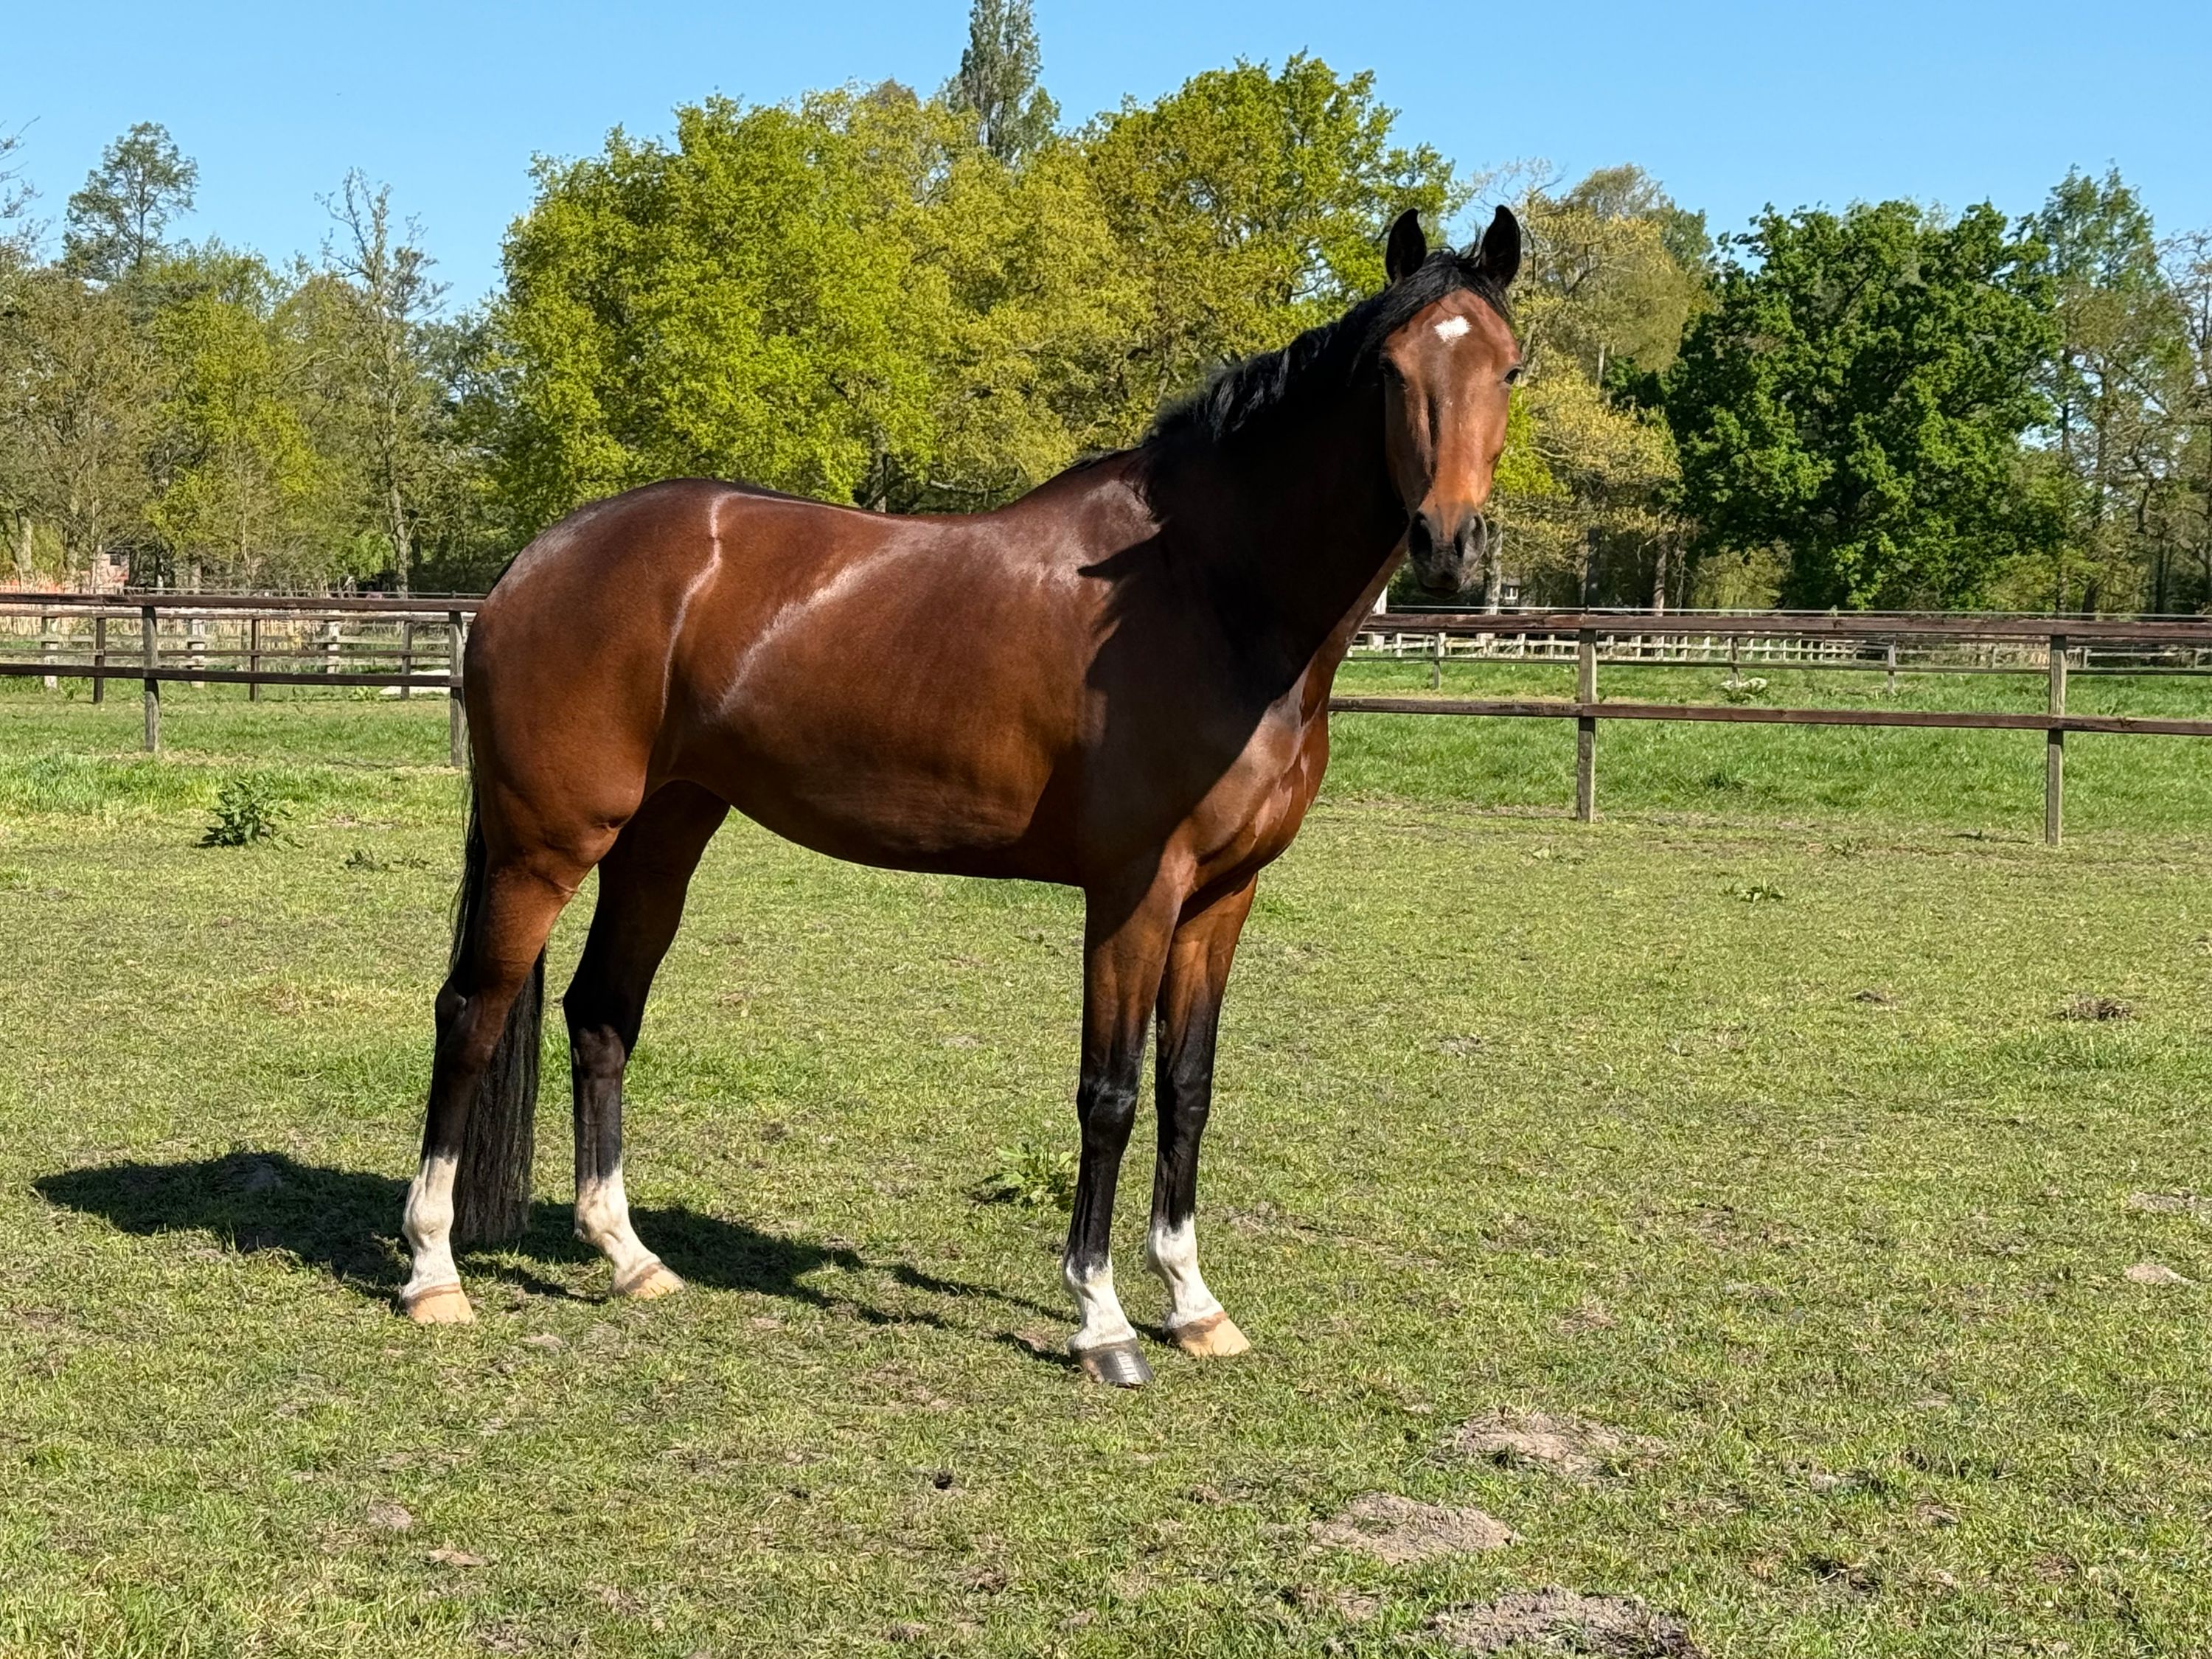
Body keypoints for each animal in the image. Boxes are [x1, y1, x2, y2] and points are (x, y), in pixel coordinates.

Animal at [399, 206, 1523, 1387]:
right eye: (1392, 369)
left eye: (1509, 367)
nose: (1450, 545)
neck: (1207, 591)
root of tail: (536, 561)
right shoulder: (1136, 893)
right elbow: (1111, 1094)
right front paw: (1104, 1321)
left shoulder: (1224, 899)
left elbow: (1189, 1090)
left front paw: (1195, 1303)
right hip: (546, 844)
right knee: (470, 1014)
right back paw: (433, 1273)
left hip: (663, 837)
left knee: (602, 1015)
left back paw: (629, 1257)